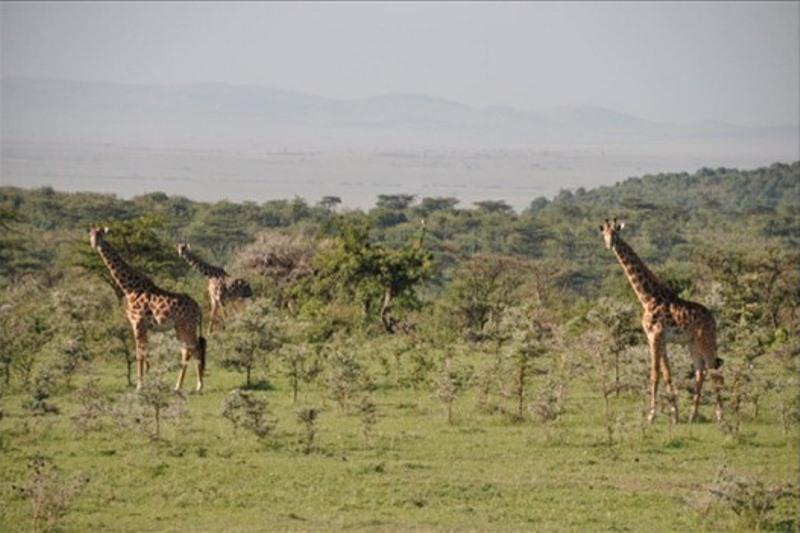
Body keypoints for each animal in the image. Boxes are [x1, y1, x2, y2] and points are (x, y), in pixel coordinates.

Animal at [88, 225, 206, 390]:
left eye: (100, 235)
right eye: (91, 234)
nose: (94, 244)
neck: (129, 287)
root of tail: (198, 308)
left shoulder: (138, 323)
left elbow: (139, 353)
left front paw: (139, 385)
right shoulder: (141, 325)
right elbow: (143, 352)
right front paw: (144, 382)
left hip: (187, 326)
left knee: (194, 348)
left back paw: (197, 386)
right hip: (180, 328)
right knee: (187, 350)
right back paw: (180, 386)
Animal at [596, 218, 720, 422]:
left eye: (616, 233)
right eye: (604, 234)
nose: (609, 244)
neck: (647, 298)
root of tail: (713, 320)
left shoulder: (656, 335)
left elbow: (655, 374)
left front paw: (651, 416)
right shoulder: (657, 338)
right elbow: (666, 373)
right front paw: (674, 414)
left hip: (706, 340)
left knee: (715, 371)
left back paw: (720, 416)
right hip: (692, 343)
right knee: (700, 372)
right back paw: (692, 416)